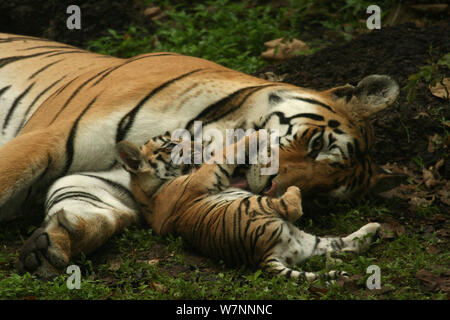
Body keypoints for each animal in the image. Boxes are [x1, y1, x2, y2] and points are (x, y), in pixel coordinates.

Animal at [0, 33, 400, 276]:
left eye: (323, 197)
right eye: (318, 146)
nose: (272, 189)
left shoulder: (122, 185)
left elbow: (90, 208)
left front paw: (49, 247)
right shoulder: (45, 137)